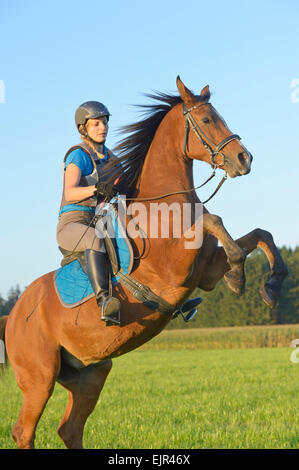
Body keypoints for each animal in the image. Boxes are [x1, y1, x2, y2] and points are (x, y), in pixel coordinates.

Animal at [1, 76, 290, 448]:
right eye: (207, 119)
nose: (244, 158)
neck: (165, 207)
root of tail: (12, 316)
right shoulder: (175, 267)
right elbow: (216, 222)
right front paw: (239, 276)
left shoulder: (206, 271)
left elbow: (259, 234)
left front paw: (270, 286)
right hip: (40, 377)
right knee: (25, 430)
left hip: (90, 374)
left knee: (70, 428)